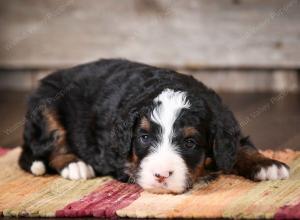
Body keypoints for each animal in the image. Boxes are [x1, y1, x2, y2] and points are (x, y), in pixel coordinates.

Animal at [18, 58, 288, 194]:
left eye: (190, 143)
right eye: (144, 138)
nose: (161, 175)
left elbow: (241, 147)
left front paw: (267, 165)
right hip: (45, 105)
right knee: (53, 144)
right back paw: (75, 165)